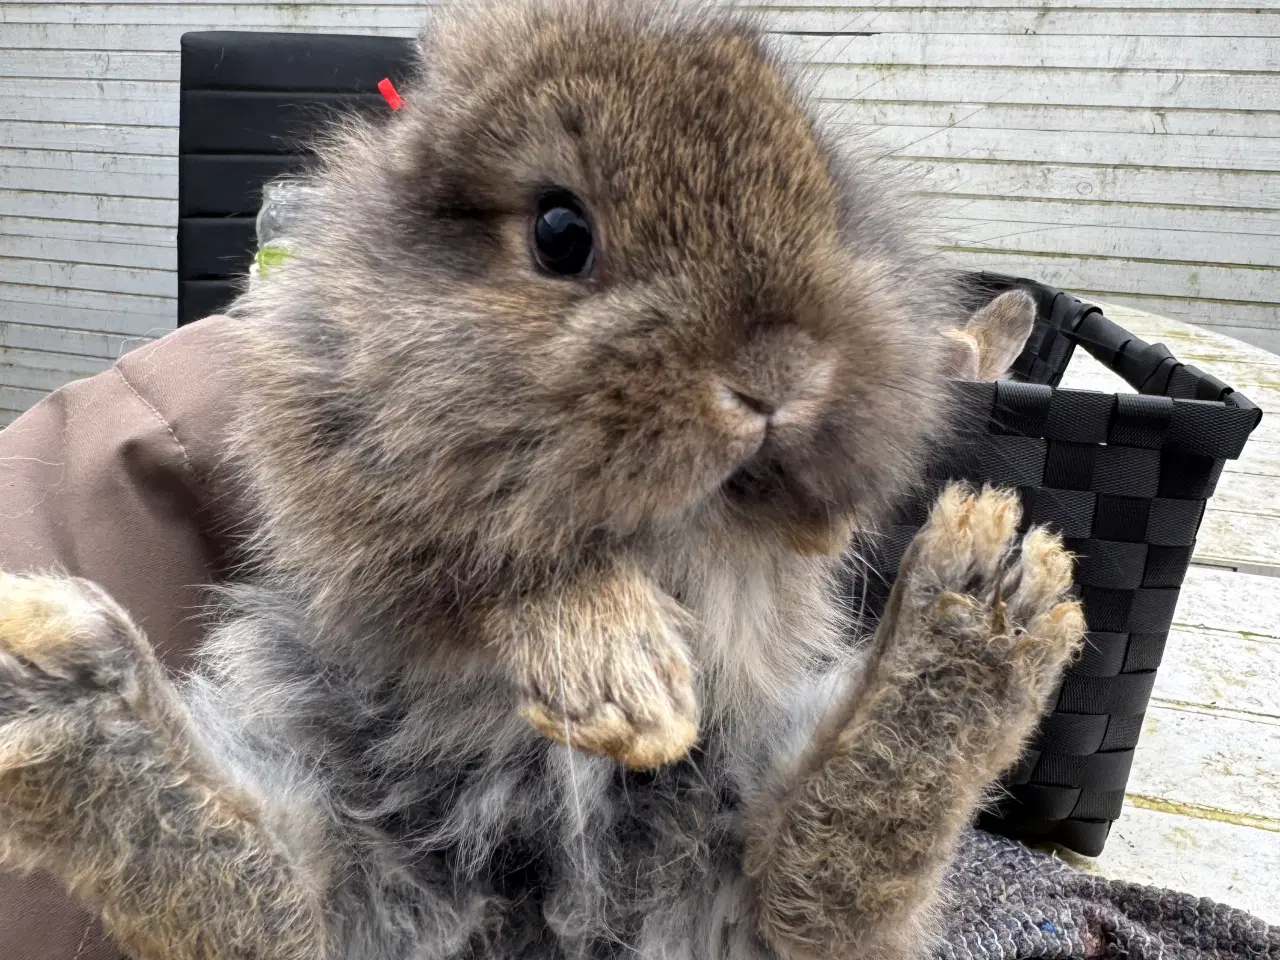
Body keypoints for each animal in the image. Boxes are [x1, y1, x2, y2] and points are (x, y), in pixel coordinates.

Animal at [0, 1, 1085, 960]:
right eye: (561, 233)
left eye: (822, 197)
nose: (778, 374)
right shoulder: (356, 495)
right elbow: (501, 574)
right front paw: (629, 685)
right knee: (269, 899)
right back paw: (45, 677)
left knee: (822, 877)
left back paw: (984, 598)